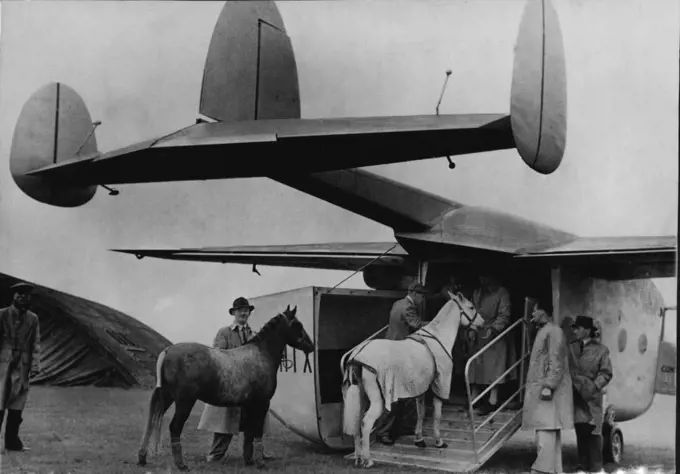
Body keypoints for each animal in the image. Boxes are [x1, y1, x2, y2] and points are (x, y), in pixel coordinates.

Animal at [136, 306, 316, 472]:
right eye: (298, 324)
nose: (311, 346)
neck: (260, 355)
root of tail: (168, 351)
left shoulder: (249, 404)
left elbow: (249, 432)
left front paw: (249, 460)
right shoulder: (262, 403)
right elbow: (257, 430)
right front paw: (260, 463)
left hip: (167, 397)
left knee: (153, 421)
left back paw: (142, 458)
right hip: (184, 401)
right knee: (174, 427)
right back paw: (181, 465)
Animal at [340, 290, 484, 468]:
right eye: (471, 306)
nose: (482, 323)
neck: (438, 337)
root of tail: (357, 356)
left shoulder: (420, 388)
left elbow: (421, 413)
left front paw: (419, 440)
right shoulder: (439, 385)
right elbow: (437, 415)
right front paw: (439, 442)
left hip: (361, 396)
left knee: (357, 421)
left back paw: (359, 458)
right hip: (377, 400)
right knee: (366, 423)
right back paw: (368, 460)